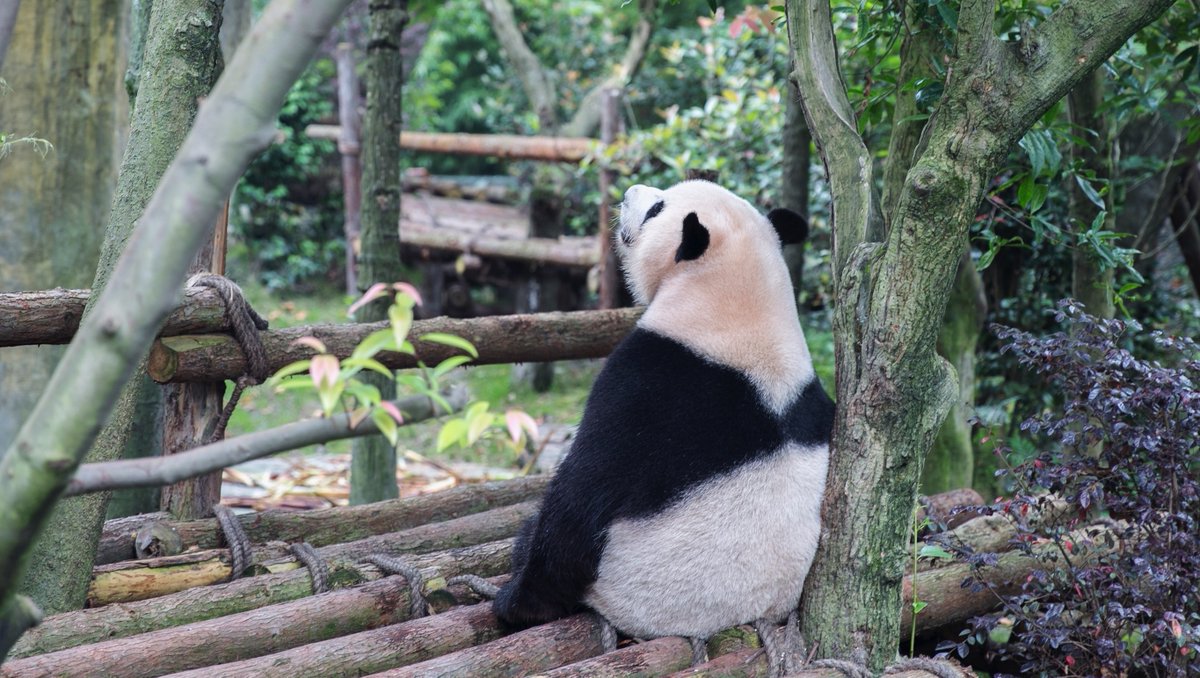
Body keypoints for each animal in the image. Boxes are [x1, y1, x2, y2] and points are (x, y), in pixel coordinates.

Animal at [493, 179, 834, 647]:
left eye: (656, 208)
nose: (629, 192)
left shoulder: (644, 386)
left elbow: (582, 494)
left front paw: (518, 604)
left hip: (622, 582)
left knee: (541, 531)